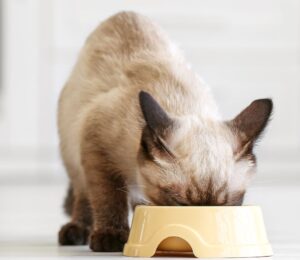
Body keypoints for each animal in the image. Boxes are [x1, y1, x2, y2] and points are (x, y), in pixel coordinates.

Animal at [57, 11, 274, 251]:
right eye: (180, 203)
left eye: (227, 205)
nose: (201, 219)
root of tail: (124, 13)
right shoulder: (97, 148)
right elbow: (108, 198)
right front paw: (111, 237)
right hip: (73, 152)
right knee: (83, 195)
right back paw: (76, 232)